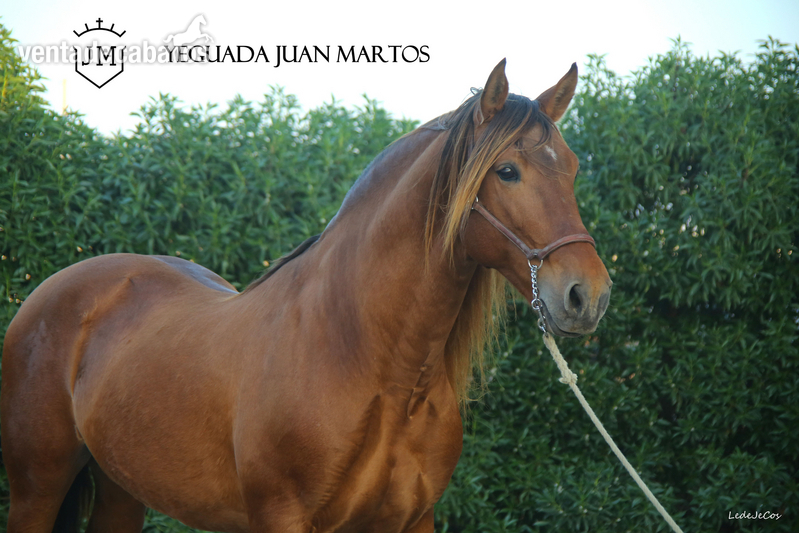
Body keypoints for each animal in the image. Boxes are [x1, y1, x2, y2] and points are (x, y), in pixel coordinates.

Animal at [1, 60, 611, 532]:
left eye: (574, 169)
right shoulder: (283, 516)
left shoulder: (413, 518)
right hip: (37, 487)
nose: (589, 295)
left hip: (121, 488)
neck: (372, 364)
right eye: (506, 171)